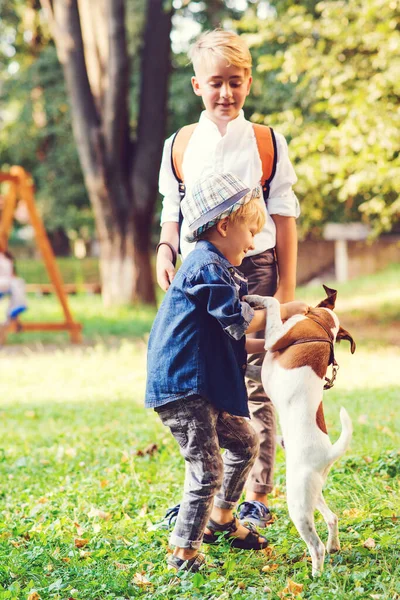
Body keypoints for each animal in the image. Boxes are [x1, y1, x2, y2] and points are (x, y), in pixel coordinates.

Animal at [245, 286, 354, 576]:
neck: (321, 325)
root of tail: (328, 454)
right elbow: (251, 367)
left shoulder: (274, 339)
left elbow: (272, 303)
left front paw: (256, 299)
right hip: (312, 495)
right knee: (332, 518)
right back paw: (334, 546)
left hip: (297, 502)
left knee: (315, 546)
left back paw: (315, 575)